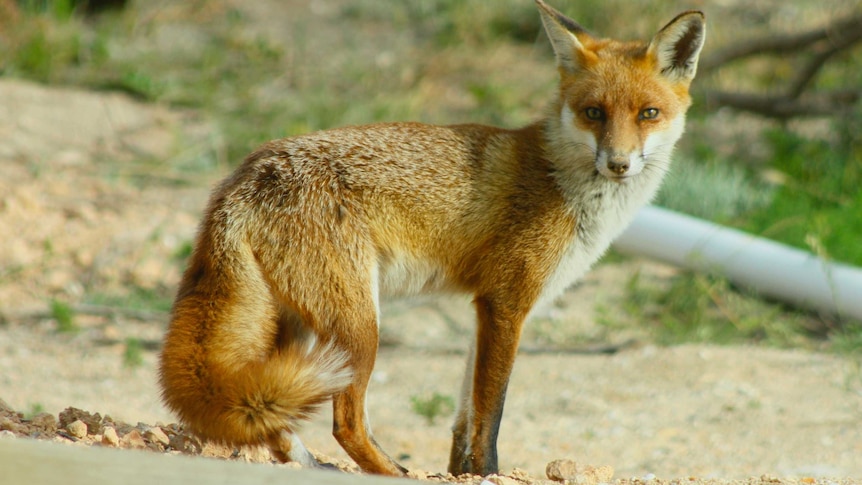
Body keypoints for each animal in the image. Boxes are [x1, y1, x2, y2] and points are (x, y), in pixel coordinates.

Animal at [159, 0, 704, 476]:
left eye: (648, 114)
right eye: (594, 113)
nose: (618, 164)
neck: (562, 182)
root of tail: (244, 174)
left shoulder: (486, 309)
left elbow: (466, 416)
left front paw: (461, 472)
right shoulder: (507, 304)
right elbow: (491, 414)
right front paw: (487, 474)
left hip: (300, 327)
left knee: (270, 414)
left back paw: (308, 464)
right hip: (359, 326)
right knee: (345, 422)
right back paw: (388, 472)